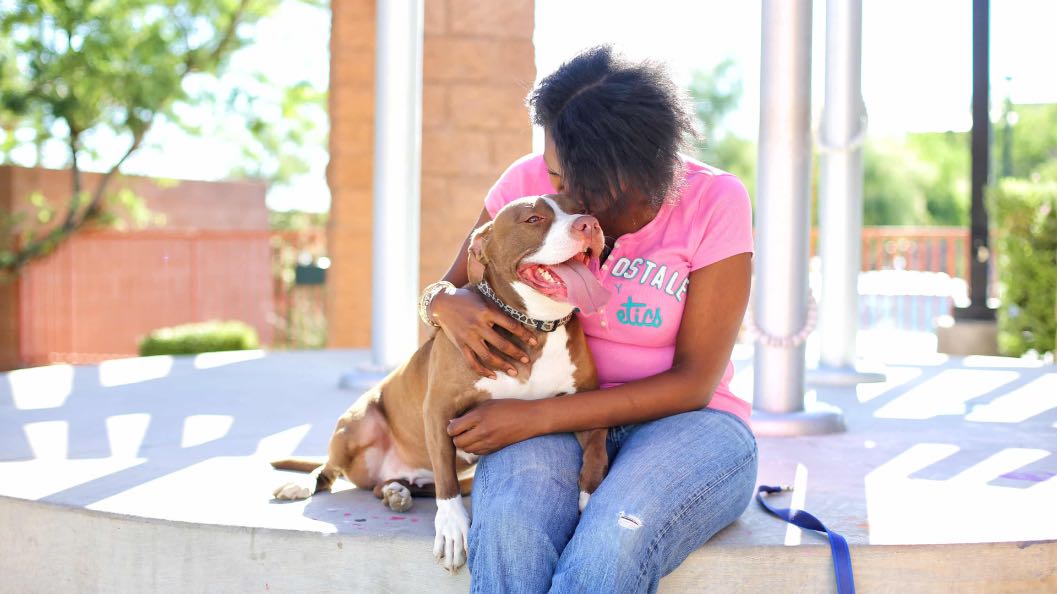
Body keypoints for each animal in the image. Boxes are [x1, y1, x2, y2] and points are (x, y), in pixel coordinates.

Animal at [274, 195, 613, 574]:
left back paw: (395, 491)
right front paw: (452, 527)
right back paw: (304, 484)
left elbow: (596, 451)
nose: (589, 224)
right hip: (357, 424)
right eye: (533, 219)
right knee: (329, 467)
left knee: (399, 484)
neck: (535, 326)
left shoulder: (586, 402)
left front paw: (589, 495)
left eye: (581, 206)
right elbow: (446, 485)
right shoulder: (438, 409)